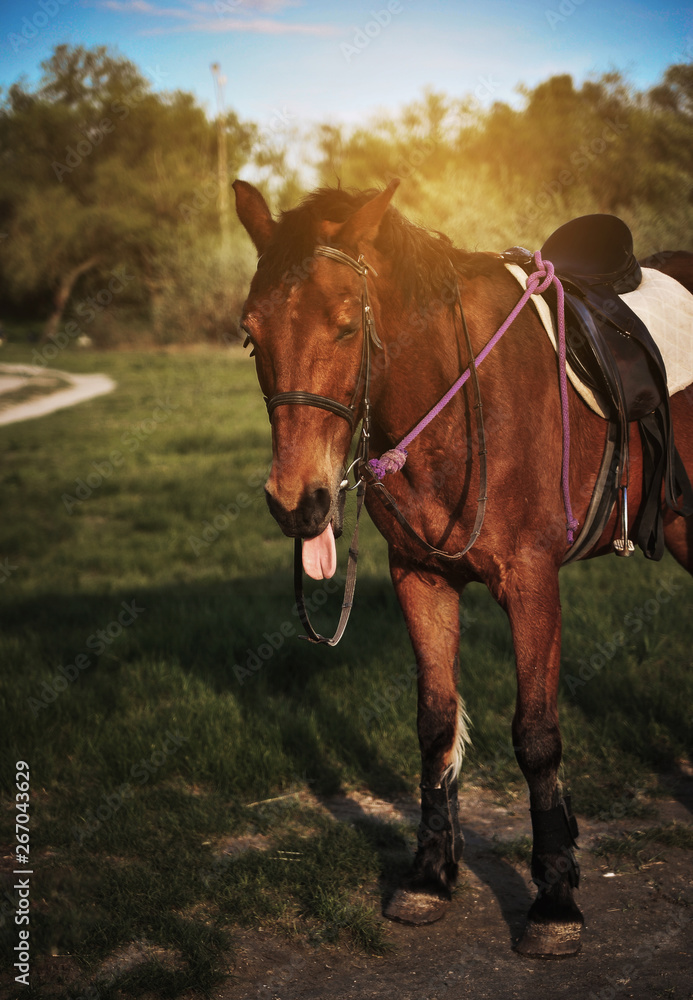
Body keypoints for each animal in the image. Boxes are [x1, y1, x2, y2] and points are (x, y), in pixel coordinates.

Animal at [232, 177, 693, 957]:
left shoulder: (532, 583)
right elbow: (436, 724)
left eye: (345, 327)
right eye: (250, 334)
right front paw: (429, 875)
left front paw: (555, 898)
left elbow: (536, 737)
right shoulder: (420, 578)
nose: (299, 501)